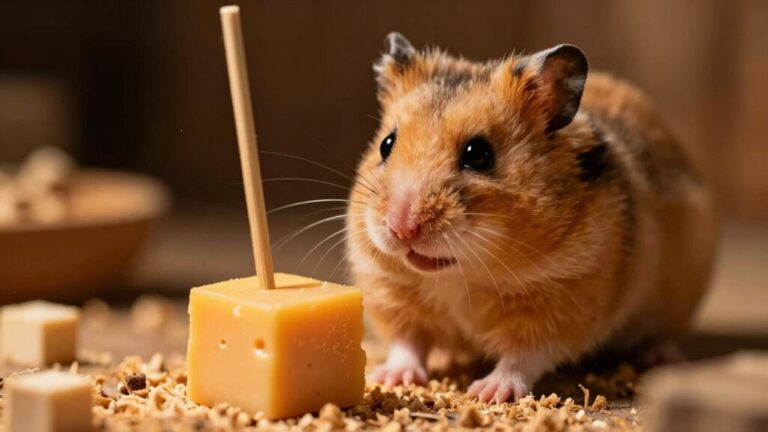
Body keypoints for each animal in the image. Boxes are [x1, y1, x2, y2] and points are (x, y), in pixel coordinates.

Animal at [345, 32, 719, 403]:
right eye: (386, 144)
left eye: (478, 154)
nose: (401, 227)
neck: (460, 275)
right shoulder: (390, 289)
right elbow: (407, 342)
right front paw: (391, 378)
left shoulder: (563, 299)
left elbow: (522, 356)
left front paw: (487, 393)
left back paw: (660, 356)